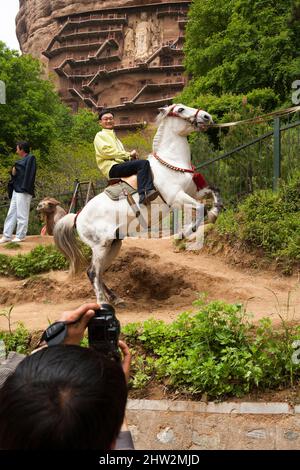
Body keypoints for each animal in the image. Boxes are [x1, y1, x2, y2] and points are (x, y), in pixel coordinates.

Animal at [54, 104, 221, 302]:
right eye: (180, 109)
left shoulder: (193, 192)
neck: (170, 164)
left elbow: (214, 191)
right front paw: (182, 234)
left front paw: (215, 212)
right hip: (100, 246)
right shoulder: (177, 197)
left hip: (113, 244)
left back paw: (115, 298)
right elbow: (201, 208)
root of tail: (77, 216)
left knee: (99, 272)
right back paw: (102, 301)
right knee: (93, 272)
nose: (207, 116)